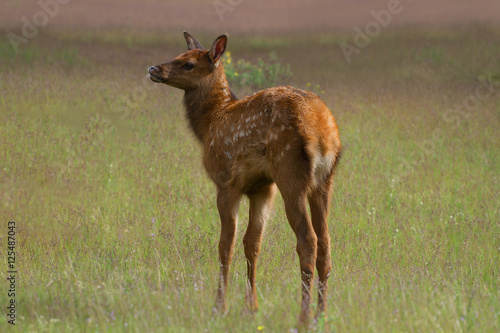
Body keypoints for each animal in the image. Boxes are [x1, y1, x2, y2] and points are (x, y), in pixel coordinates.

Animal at [148, 32, 342, 326]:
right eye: (178, 55)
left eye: (188, 64)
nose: (154, 69)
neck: (209, 125)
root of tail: (323, 132)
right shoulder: (262, 188)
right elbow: (252, 244)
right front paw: (251, 307)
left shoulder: (226, 181)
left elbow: (225, 246)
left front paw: (219, 307)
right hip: (323, 182)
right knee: (326, 241)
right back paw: (322, 314)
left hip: (291, 173)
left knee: (308, 240)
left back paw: (303, 318)